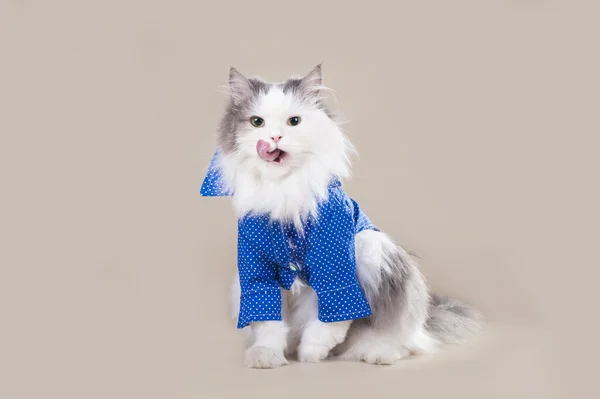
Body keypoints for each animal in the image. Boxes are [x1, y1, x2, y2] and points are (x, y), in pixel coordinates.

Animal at [203, 65, 482, 368]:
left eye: (294, 121)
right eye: (257, 122)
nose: (275, 138)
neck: (284, 190)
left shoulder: (335, 260)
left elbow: (333, 316)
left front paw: (311, 353)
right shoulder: (256, 267)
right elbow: (267, 320)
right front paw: (266, 355)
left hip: (372, 246)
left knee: (400, 338)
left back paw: (377, 353)